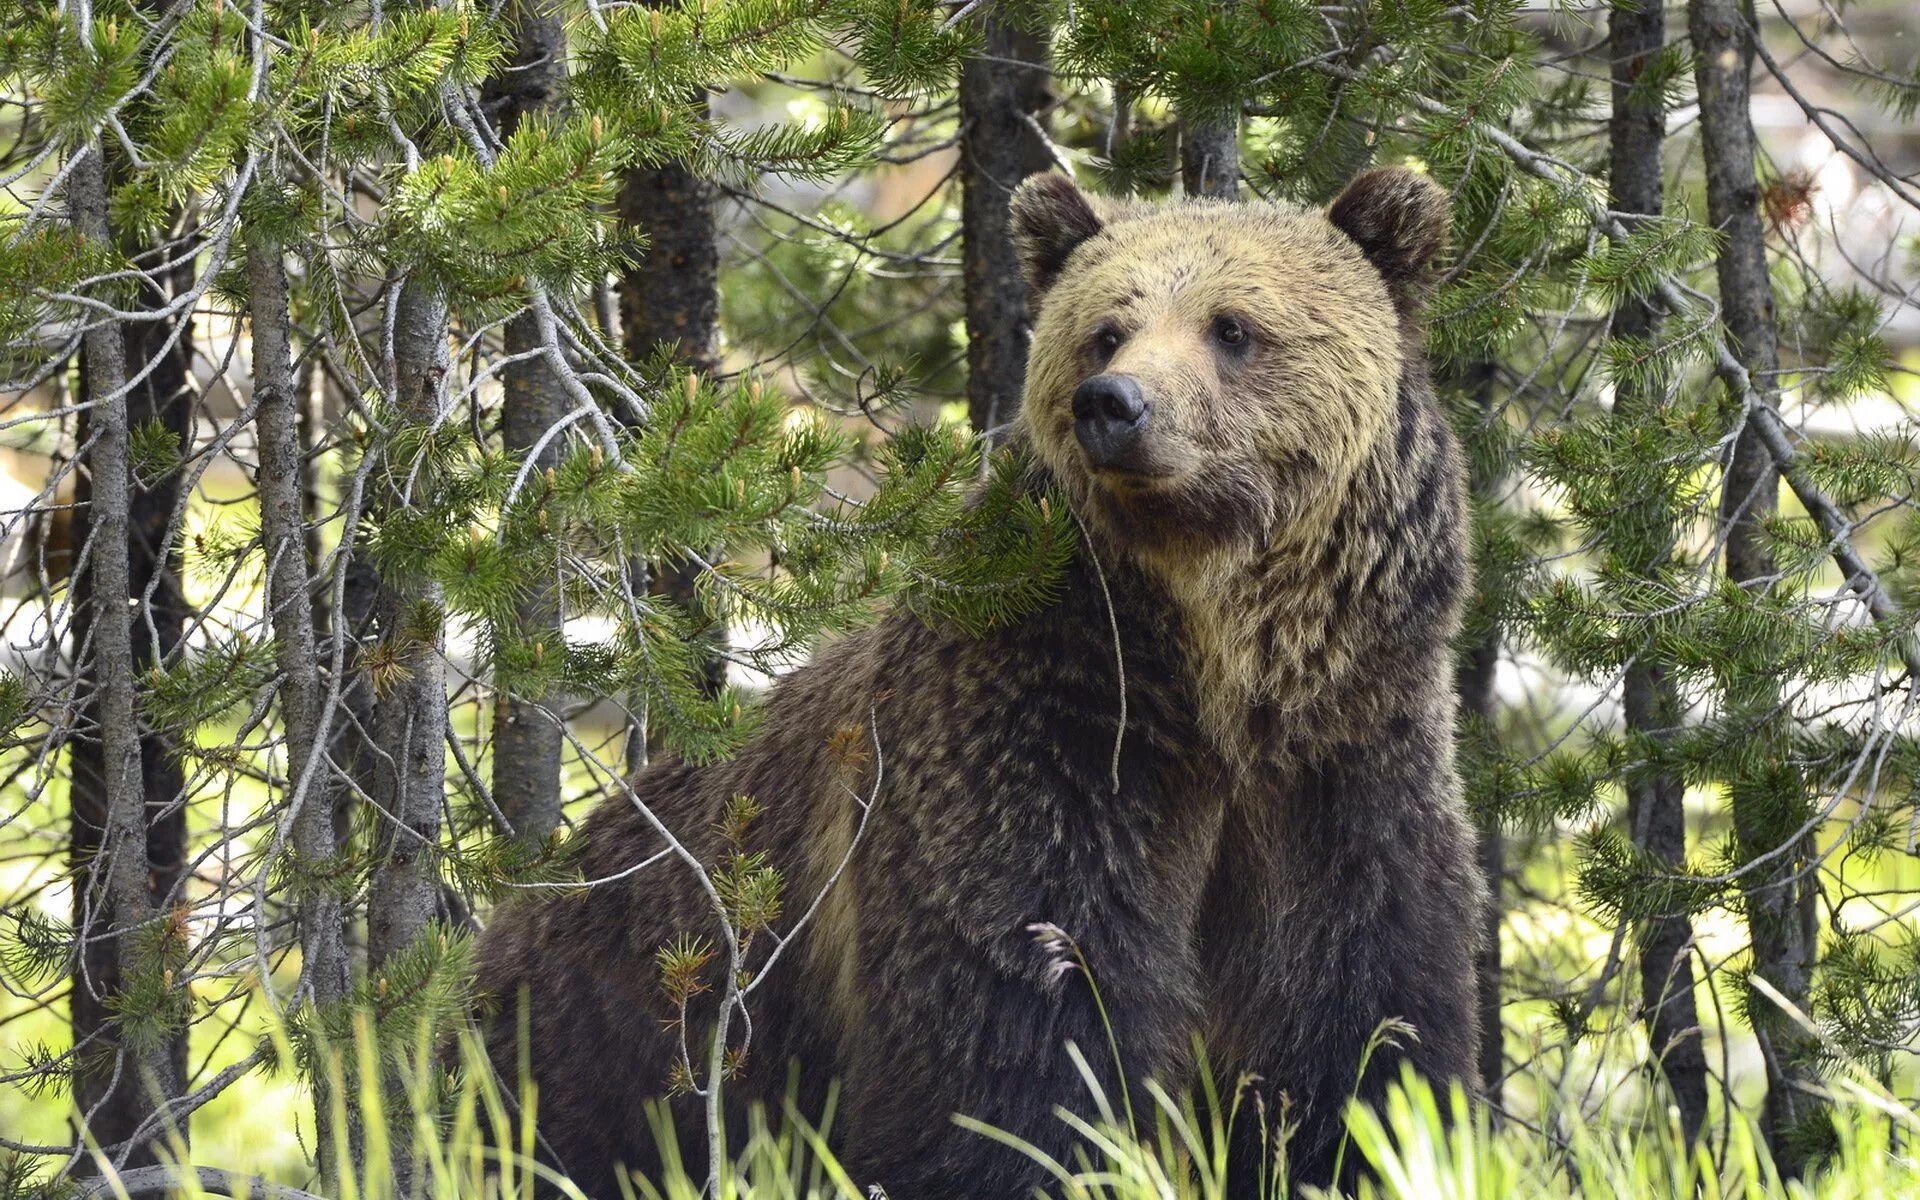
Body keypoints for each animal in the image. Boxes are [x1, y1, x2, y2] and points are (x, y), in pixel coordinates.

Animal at [476, 168, 1482, 1198]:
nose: (1112, 403)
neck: (1215, 681)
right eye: (1106, 329)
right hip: (601, 1034)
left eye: (1232, 325)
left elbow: (1361, 1022)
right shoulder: (1047, 746)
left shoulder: (1343, 768)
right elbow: (1019, 1029)